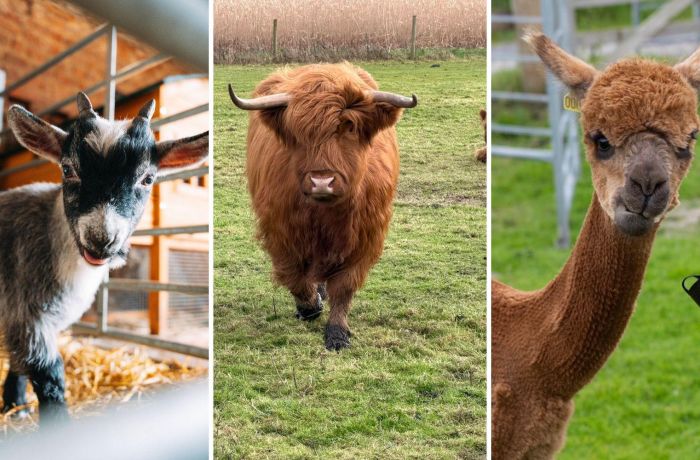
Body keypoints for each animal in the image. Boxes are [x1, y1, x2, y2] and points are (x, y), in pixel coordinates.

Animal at [229, 62, 417, 350]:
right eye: (298, 132)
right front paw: (309, 307)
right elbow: (294, 276)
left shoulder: (364, 236)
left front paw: (337, 333)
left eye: (348, 127)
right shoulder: (280, 231)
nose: (321, 182)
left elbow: (344, 286)